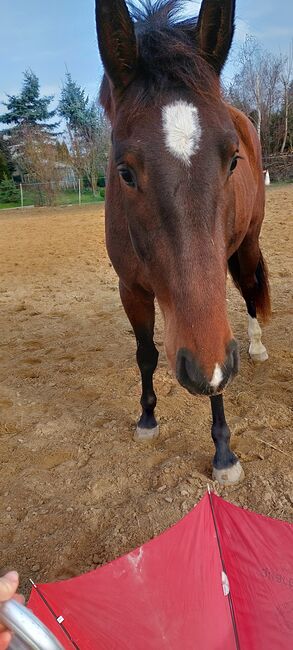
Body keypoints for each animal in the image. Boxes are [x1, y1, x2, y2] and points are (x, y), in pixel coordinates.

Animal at [95, 0, 270, 484]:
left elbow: (217, 373)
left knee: (250, 290)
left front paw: (224, 453)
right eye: (124, 171)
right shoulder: (131, 289)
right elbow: (146, 354)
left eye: (233, 159)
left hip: (248, 244)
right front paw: (147, 418)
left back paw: (257, 345)